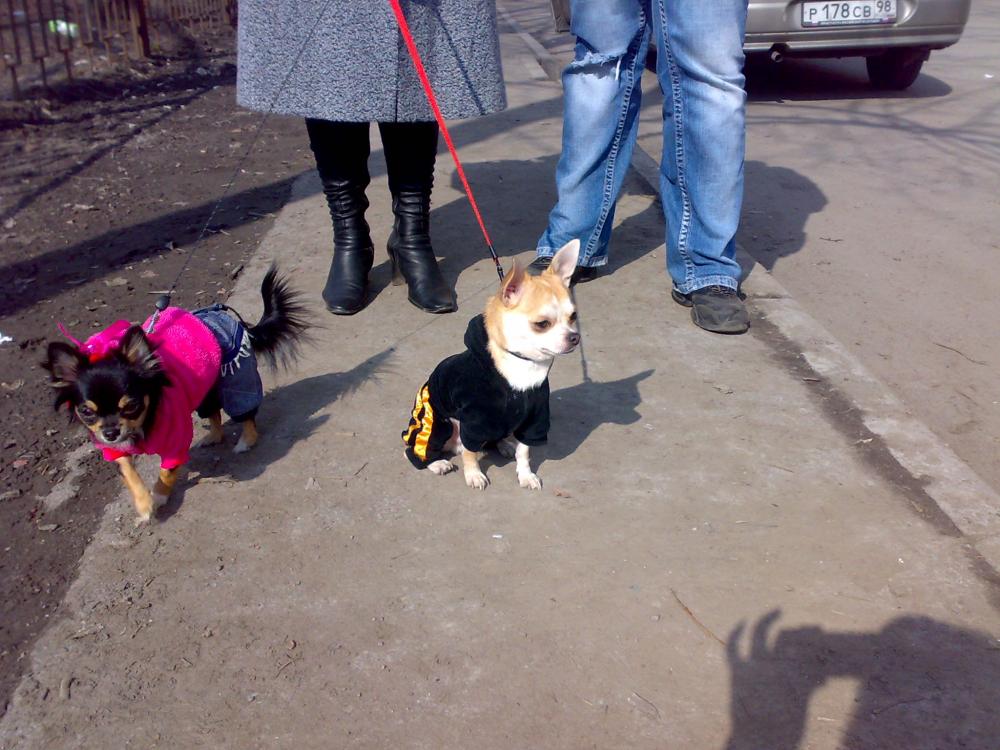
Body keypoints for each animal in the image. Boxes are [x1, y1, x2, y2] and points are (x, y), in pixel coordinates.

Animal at [42, 265, 309, 523]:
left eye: (131, 405)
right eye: (86, 411)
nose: (110, 433)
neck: (142, 425)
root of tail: (224, 315)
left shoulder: (175, 444)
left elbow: (166, 473)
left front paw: (159, 497)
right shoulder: (117, 450)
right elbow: (130, 473)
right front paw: (144, 505)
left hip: (236, 376)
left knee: (245, 412)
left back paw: (245, 441)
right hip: (205, 386)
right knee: (213, 413)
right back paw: (213, 436)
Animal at [402, 239, 581, 490]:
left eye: (573, 317)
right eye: (542, 324)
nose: (575, 337)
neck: (521, 365)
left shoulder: (532, 420)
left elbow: (525, 452)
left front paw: (525, 475)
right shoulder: (472, 421)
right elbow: (470, 453)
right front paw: (473, 474)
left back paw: (505, 444)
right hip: (439, 423)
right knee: (416, 449)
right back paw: (436, 463)